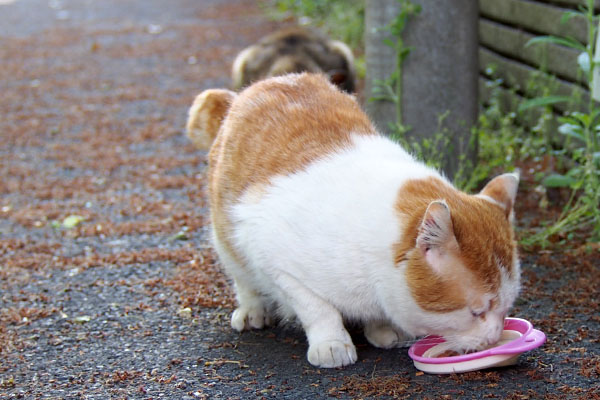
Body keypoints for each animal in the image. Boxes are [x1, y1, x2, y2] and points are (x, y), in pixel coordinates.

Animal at [188, 73, 520, 368]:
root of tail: (251, 88)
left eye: (506, 309)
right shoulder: (270, 256)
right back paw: (252, 310)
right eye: (477, 311)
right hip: (226, 242)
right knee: (244, 279)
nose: (493, 339)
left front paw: (383, 328)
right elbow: (317, 308)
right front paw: (331, 343)